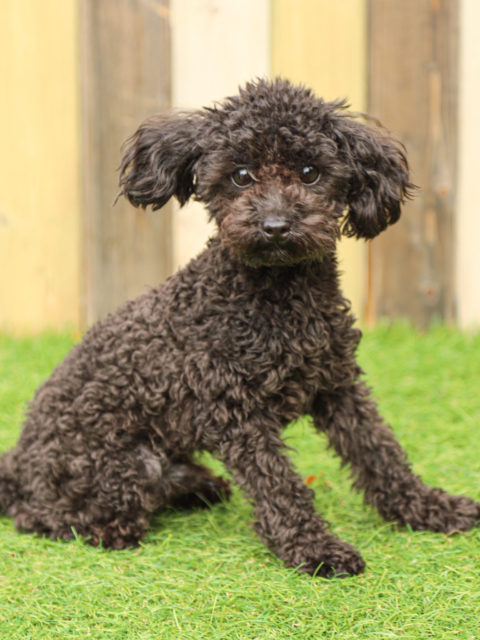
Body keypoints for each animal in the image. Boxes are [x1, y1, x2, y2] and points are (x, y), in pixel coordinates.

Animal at [1, 78, 478, 577]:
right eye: (241, 175)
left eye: (310, 172)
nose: (275, 225)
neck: (281, 302)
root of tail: (14, 466)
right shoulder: (232, 410)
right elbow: (279, 485)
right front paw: (315, 549)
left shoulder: (337, 384)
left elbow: (380, 453)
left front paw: (430, 508)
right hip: (124, 464)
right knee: (37, 516)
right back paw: (108, 526)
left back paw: (197, 486)